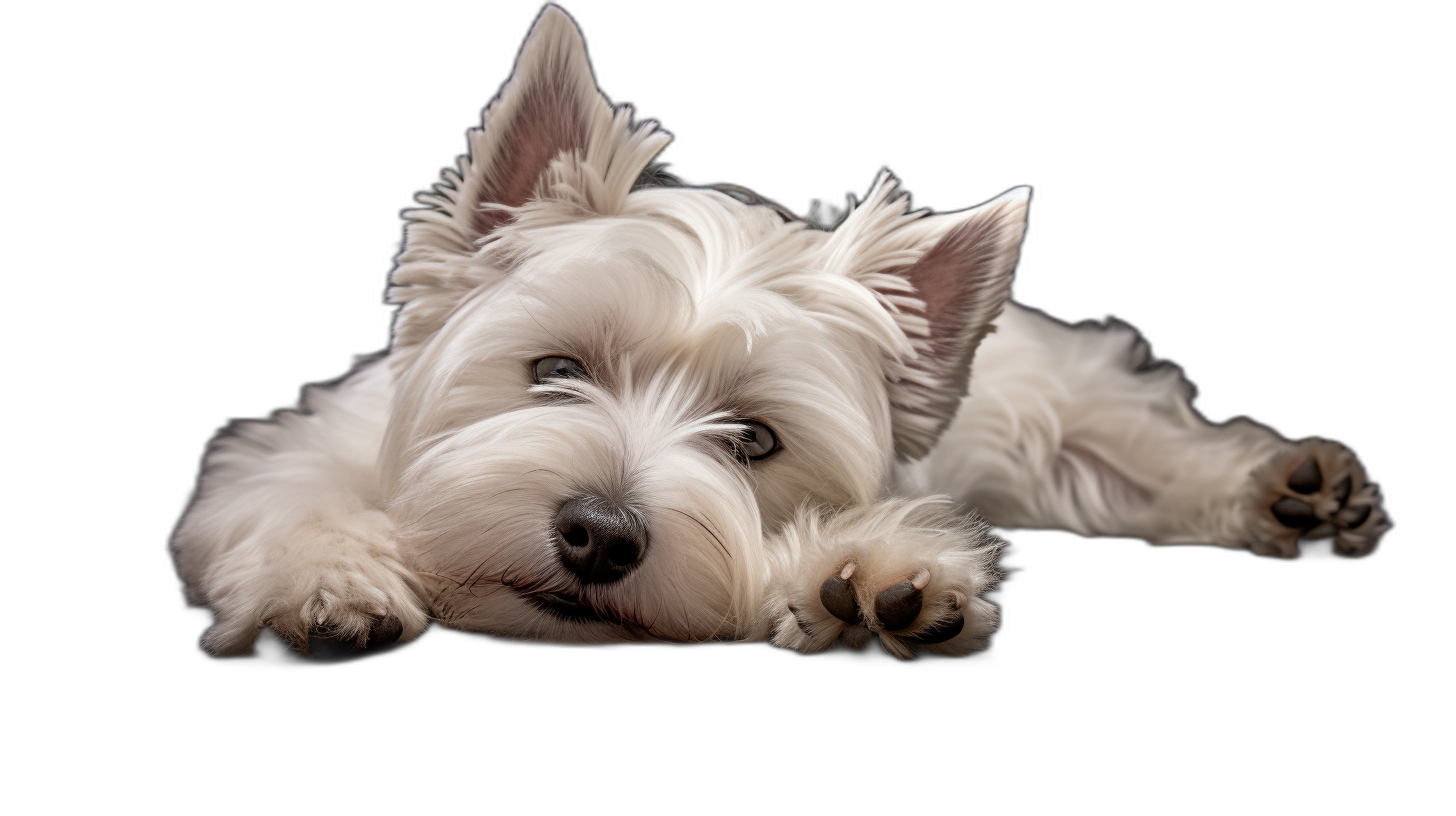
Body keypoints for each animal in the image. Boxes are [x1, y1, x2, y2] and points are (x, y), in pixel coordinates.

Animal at [167, 4, 1386, 655]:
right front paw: (326, 584)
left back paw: (1292, 494)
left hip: (1061, 404)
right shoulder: (290, 446)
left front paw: (879, 584)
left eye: (753, 442)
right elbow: (286, 499)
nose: (598, 537)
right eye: (552, 370)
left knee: (1145, 451)